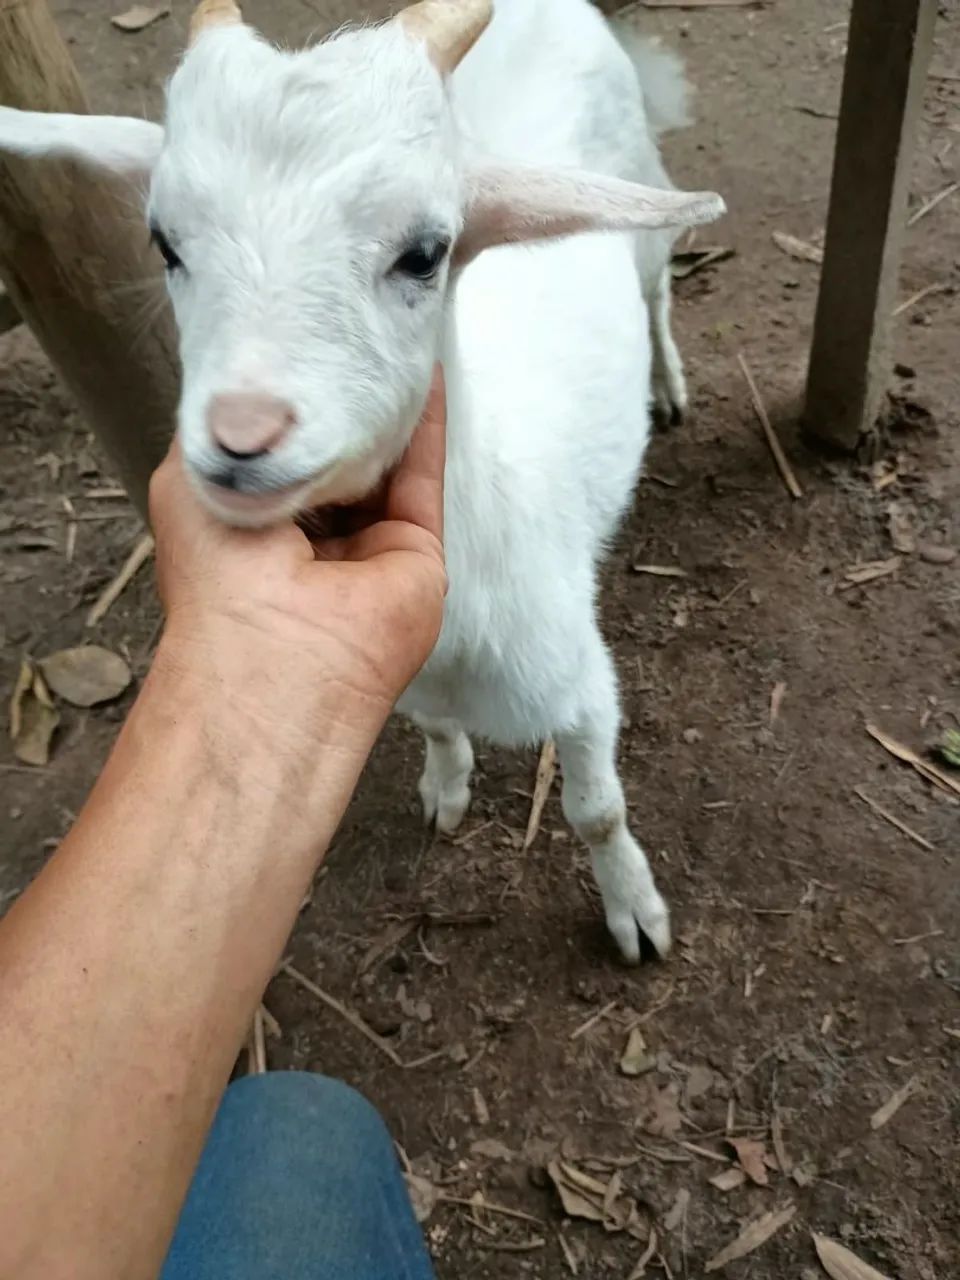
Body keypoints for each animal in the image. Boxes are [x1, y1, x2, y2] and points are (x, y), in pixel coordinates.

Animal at [0, 0, 724, 961]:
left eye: (424, 253)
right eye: (164, 241)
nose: (240, 435)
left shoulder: (580, 683)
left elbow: (597, 811)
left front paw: (634, 911)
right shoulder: (407, 670)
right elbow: (437, 728)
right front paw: (446, 787)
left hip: (638, 201)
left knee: (657, 290)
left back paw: (667, 383)